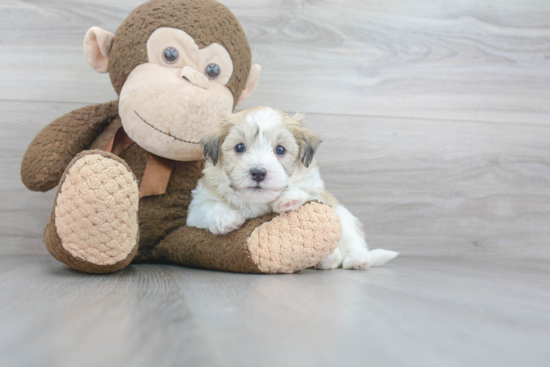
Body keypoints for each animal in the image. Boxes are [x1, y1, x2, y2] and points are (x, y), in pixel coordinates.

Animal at [188, 106, 398, 270]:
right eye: (239, 147)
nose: (258, 172)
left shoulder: (316, 191)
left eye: (280, 150)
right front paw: (226, 218)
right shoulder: (197, 205)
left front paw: (289, 198)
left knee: (353, 240)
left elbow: (306, 192)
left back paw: (356, 259)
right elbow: (208, 206)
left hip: (343, 216)